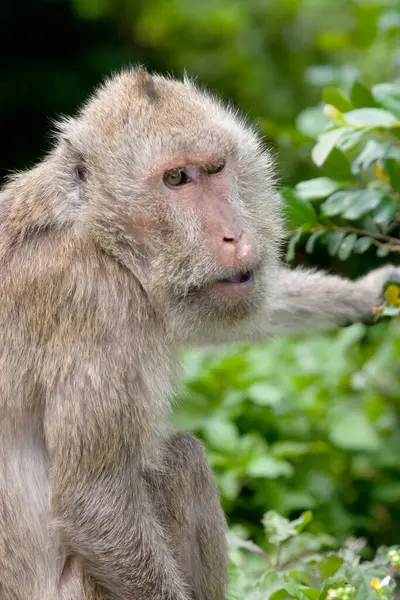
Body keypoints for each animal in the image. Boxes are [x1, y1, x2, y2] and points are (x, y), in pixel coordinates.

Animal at [0, 67, 396, 600]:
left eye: (215, 169)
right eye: (175, 179)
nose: (235, 234)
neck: (98, 235)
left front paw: (369, 293)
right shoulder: (95, 305)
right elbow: (93, 503)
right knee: (182, 462)